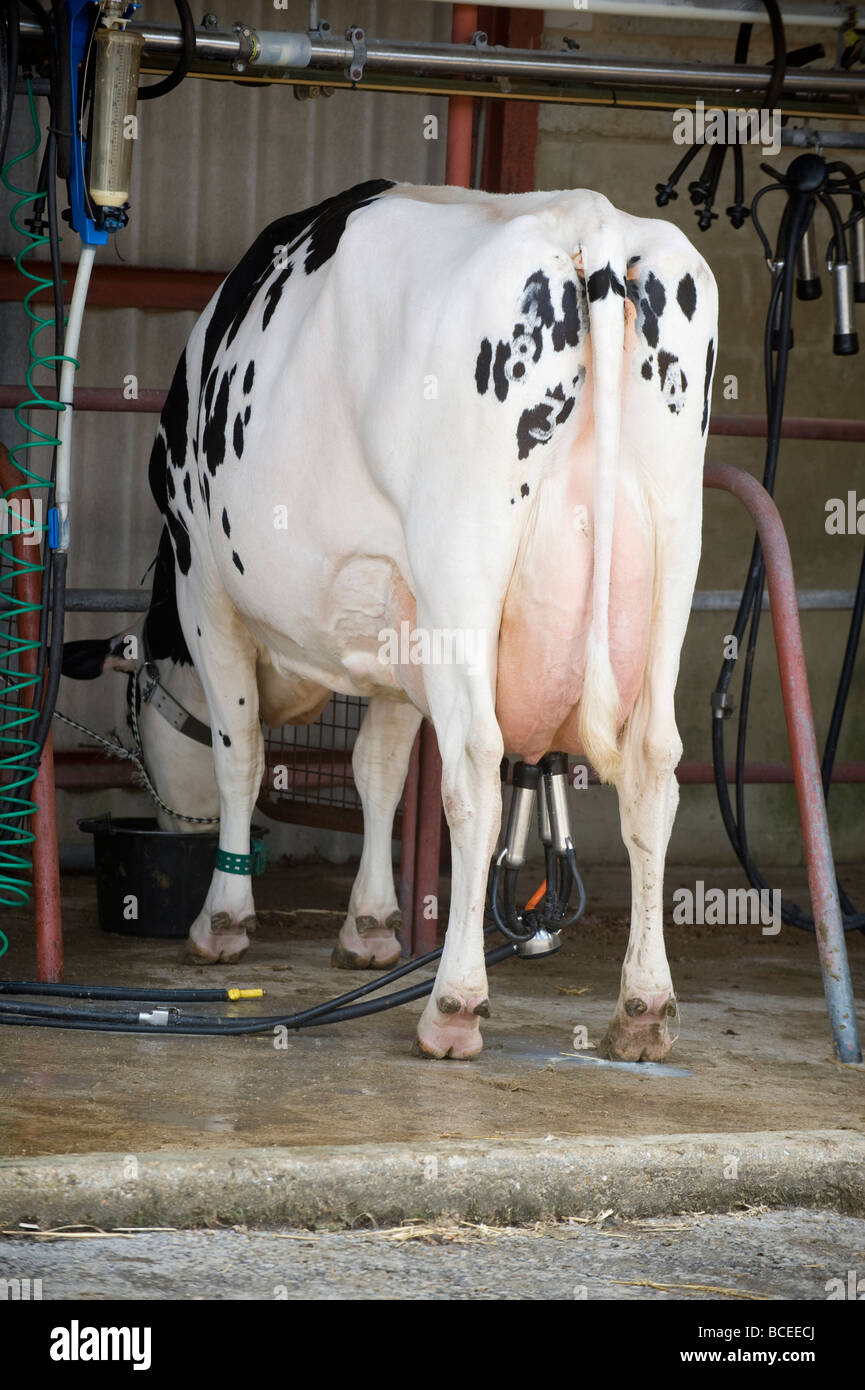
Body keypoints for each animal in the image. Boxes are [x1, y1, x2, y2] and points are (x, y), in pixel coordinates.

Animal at [62, 179, 717, 1062]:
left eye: (137, 721)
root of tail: (588, 218)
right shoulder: (400, 614)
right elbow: (379, 768)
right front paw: (370, 927)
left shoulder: (208, 588)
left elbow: (242, 755)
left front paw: (222, 919)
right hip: (670, 555)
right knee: (653, 763)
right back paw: (643, 1008)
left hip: (459, 561)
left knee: (474, 765)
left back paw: (453, 1004)